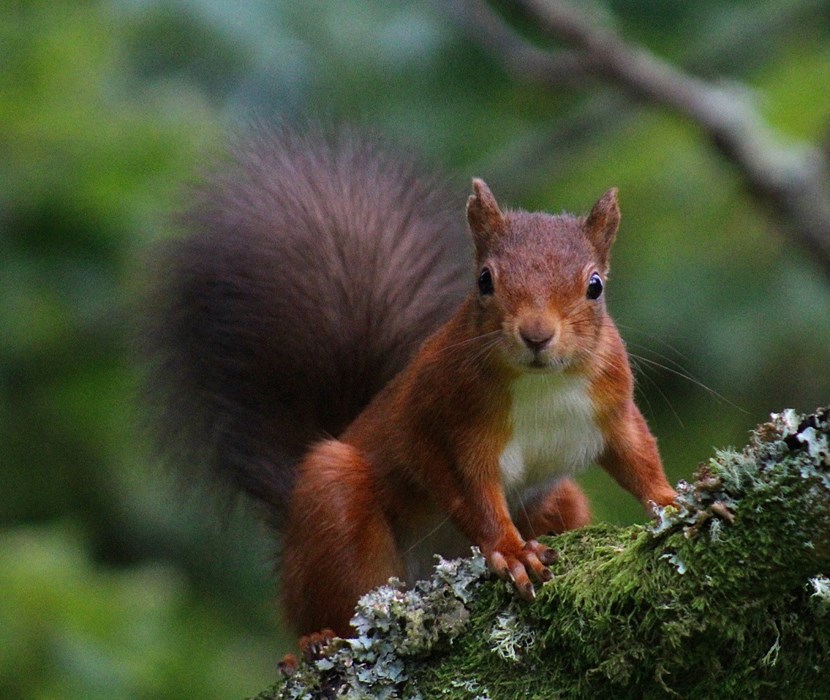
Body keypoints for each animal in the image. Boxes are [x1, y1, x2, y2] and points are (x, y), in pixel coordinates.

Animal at [143, 125, 677, 638]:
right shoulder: (446, 421)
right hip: (334, 502)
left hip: (558, 500)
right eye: (484, 280)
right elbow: (471, 494)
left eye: (595, 286)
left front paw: (676, 500)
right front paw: (510, 549)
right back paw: (315, 641)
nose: (536, 334)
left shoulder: (613, 405)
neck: (541, 385)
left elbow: (637, 456)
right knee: (337, 603)